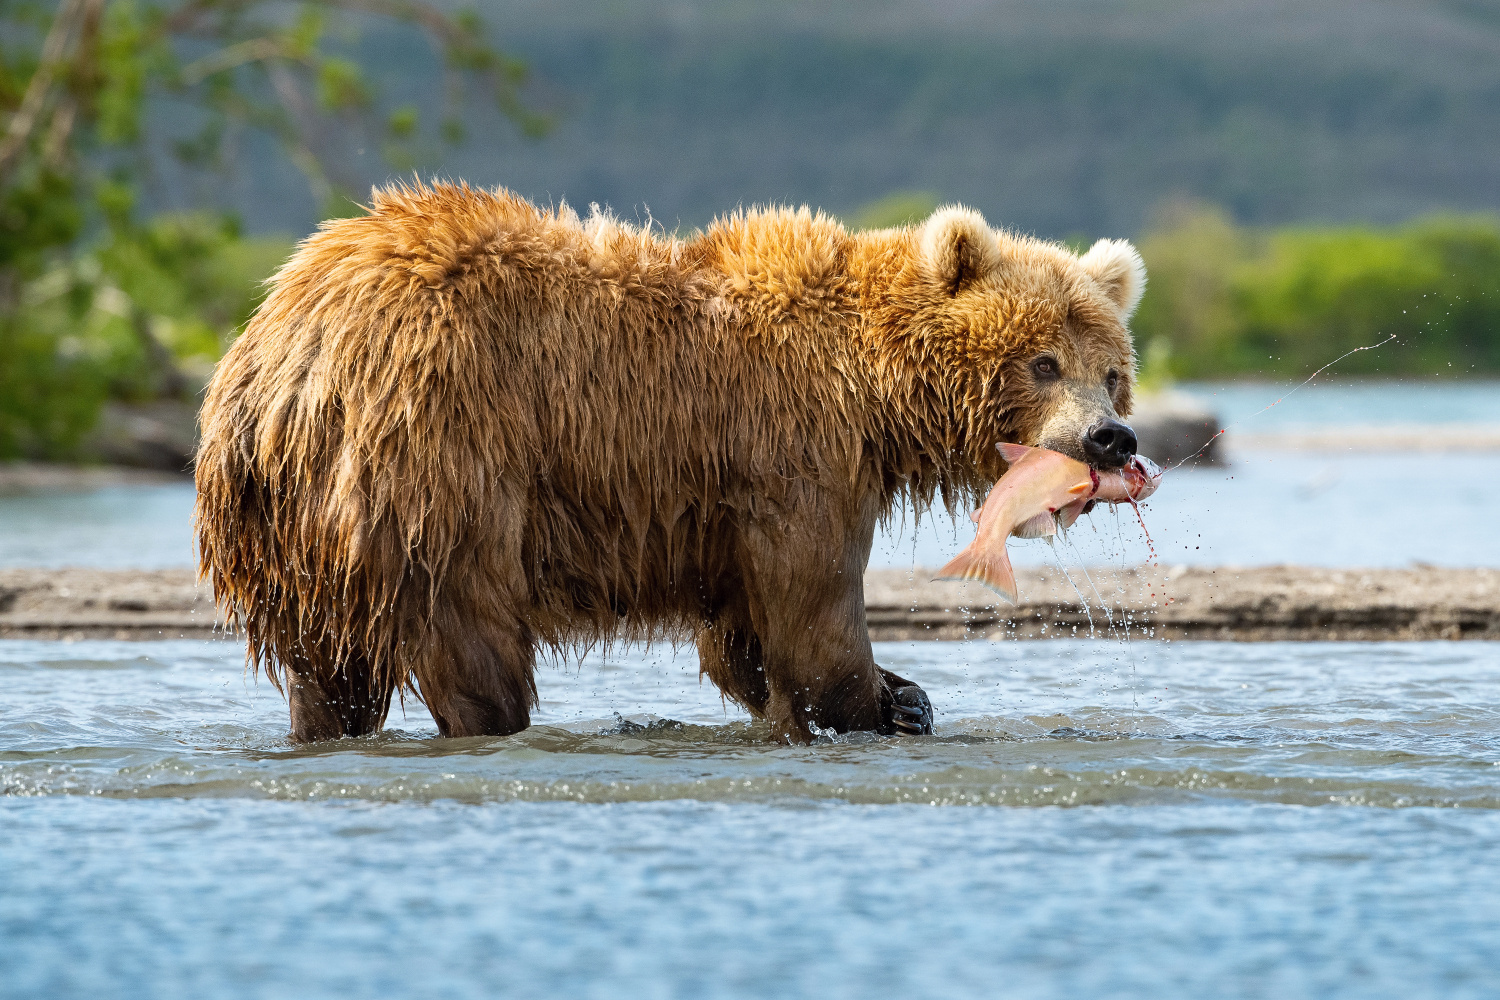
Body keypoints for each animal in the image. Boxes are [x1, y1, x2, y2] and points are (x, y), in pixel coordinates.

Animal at [193, 182, 1140, 743]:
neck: (875, 391)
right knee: (471, 636)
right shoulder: (792, 455)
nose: (1111, 439)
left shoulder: (732, 500)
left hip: (296, 538)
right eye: (1043, 361)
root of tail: (272, 359)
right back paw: (493, 725)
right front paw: (884, 702)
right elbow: (811, 617)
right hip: (434, 459)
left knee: (328, 671)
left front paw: (902, 696)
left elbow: (744, 639)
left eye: (1110, 370)